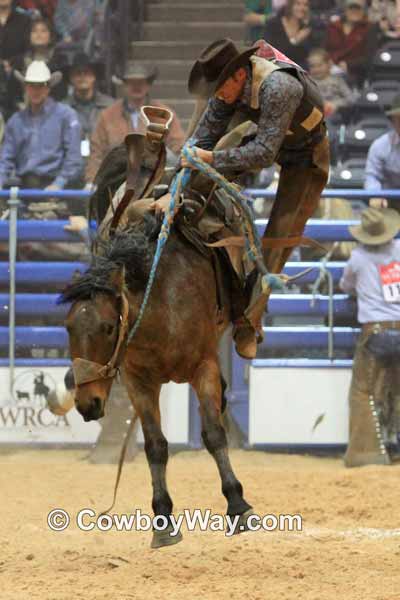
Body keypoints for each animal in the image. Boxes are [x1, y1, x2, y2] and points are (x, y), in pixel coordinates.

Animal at [60, 108, 258, 548]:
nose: (86, 404)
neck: (160, 310)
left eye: (108, 328)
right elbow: (155, 445)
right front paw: (163, 520)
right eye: (67, 328)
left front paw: (238, 504)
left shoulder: (203, 365)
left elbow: (213, 435)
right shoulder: (138, 381)